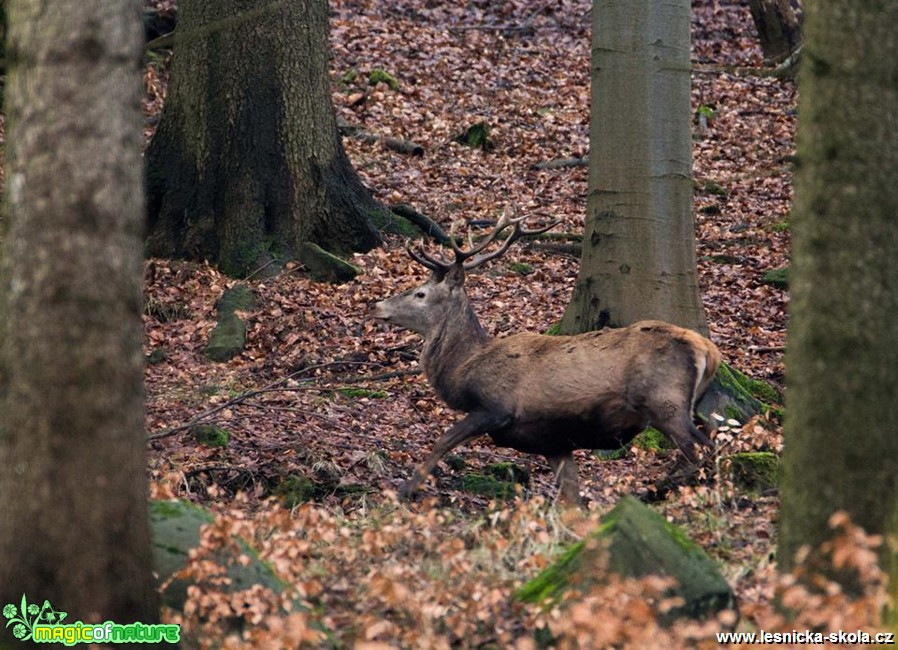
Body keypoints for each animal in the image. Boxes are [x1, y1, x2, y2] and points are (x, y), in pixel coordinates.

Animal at [372, 215, 720, 504]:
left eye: (420, 293)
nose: (377, 305)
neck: (464, 369)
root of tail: (709, 350)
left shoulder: (495, 406)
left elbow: (442, 441)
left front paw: (404, 491)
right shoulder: (554, 442)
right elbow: (572, 498)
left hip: (666, 403)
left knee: (704, 452)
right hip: (688, 405)